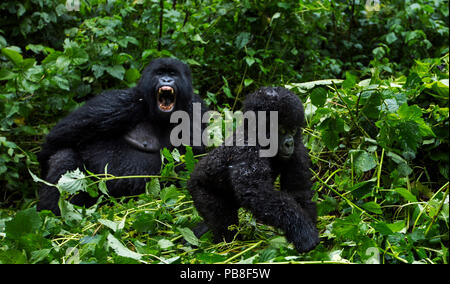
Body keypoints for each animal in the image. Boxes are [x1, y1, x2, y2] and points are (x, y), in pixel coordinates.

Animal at [38, 57, 207, 214]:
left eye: (173, 74)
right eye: (159, 73)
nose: (166, 80)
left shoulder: (195, 109)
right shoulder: (118, 102)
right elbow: (56, 139)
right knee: (64, 157)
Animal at [186, 87, 320, 253]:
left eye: (293, 130)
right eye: (281, 130)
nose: (289, 143)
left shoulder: (298, 150)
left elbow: (298, 191)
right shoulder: (247, 149)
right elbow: (257, 193)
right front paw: (303, 232)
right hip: (199, 189)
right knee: (222, 222)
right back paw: (228, 246)